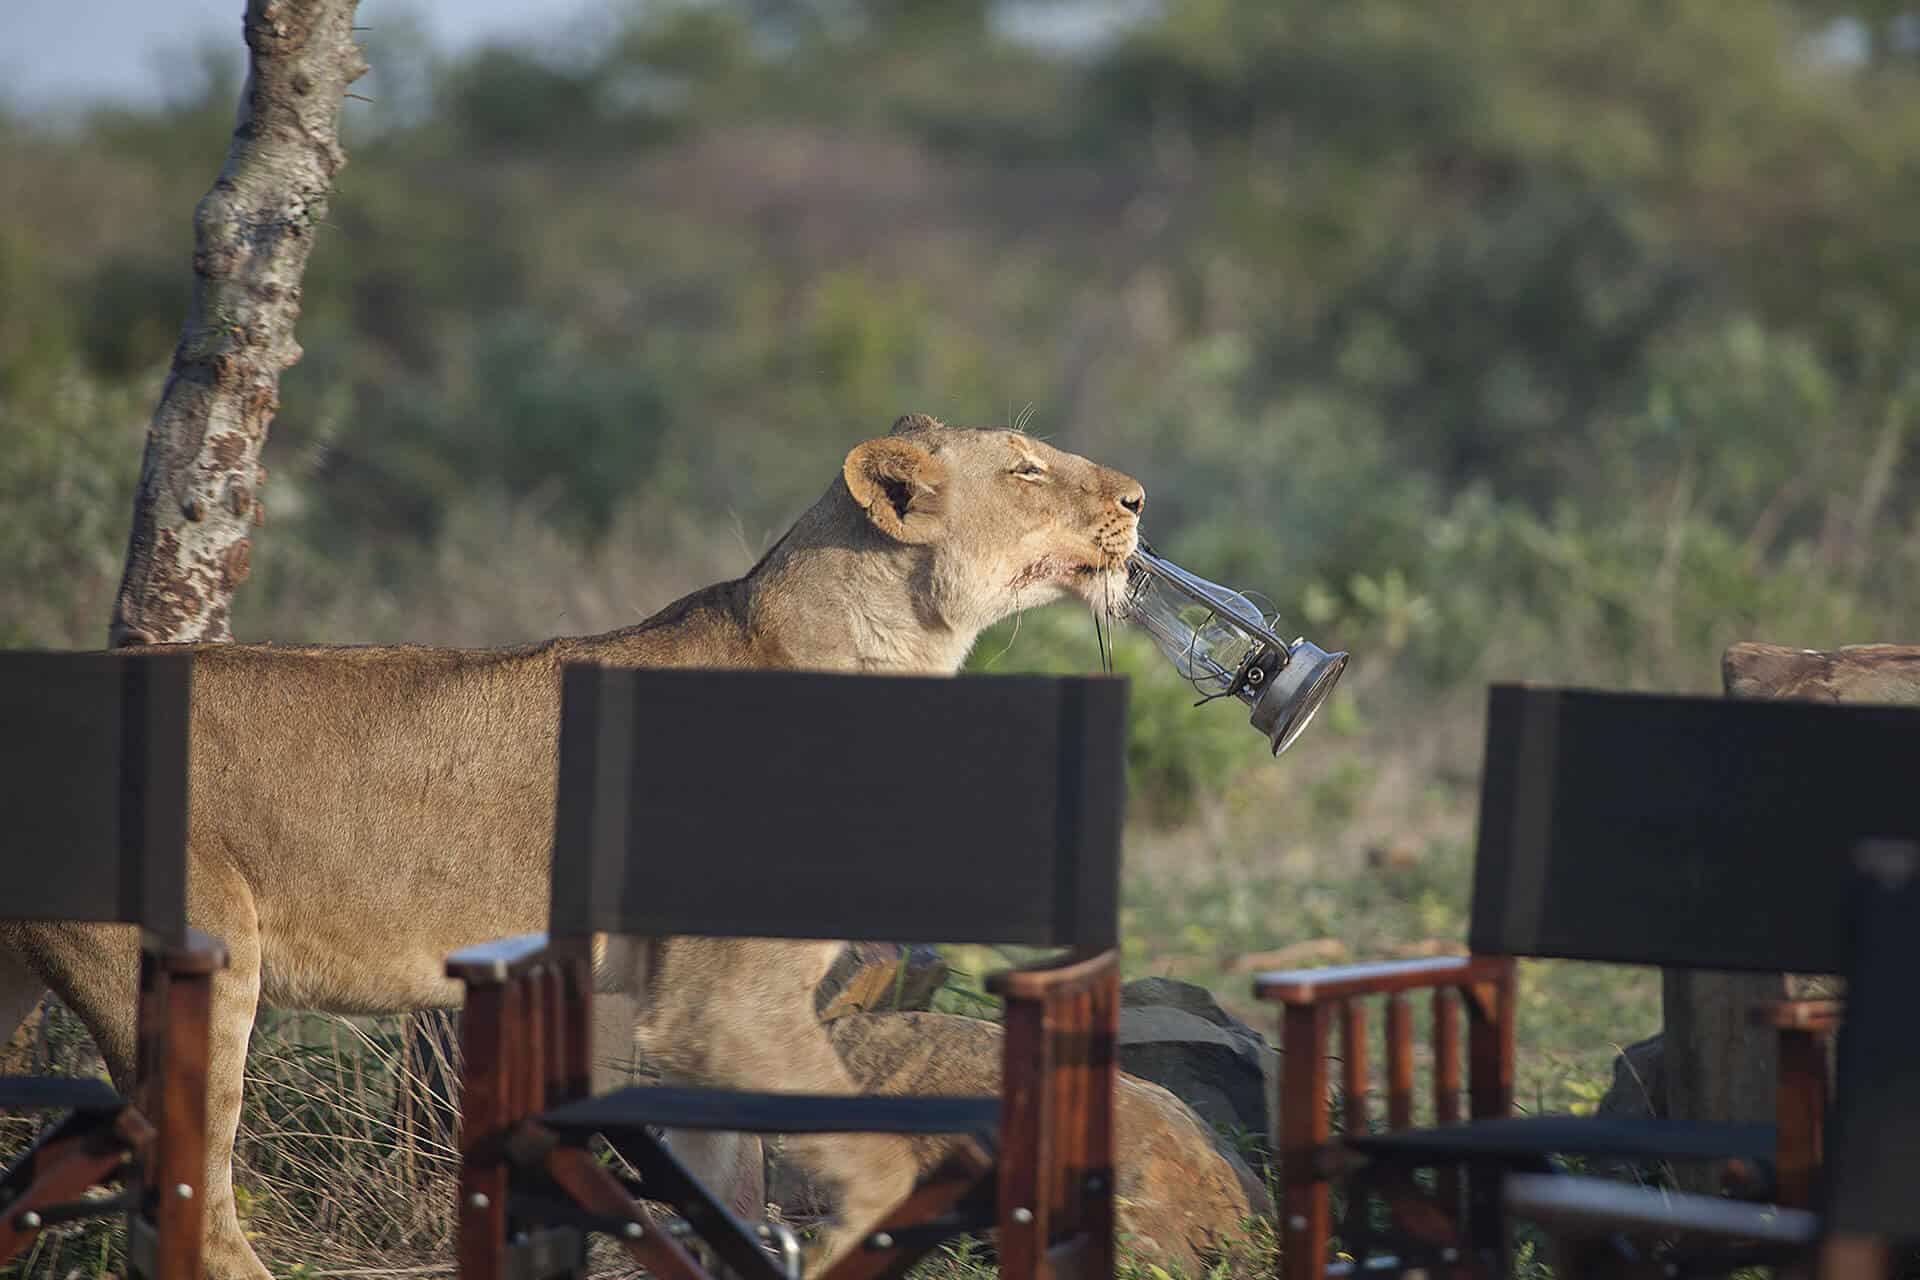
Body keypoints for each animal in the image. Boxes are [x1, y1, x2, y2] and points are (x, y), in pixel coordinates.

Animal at [0, 415, 1145, 1280]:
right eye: (1026, 467)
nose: (1138, 499)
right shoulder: (727, 996)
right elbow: (877, 1176)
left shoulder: (686, 1019)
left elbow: (730, 1193)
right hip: (195, 968)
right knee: (202, 1215)